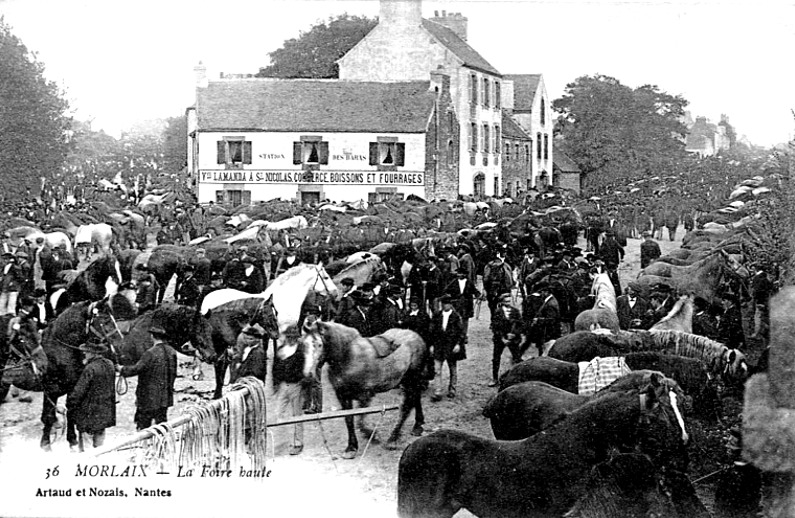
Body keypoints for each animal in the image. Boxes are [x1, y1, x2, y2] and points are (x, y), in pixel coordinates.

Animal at [296, 322, 430, 462]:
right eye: (303, 344)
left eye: (319, 344)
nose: (308, 374)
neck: (347, 356)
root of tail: (417, 336)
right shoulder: (342, 396)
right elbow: (349, 420)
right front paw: (351, 448)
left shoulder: (365, 395)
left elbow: (360, 420)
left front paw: (372, 435)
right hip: (408, 382)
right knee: (416, 399)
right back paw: (417, 426)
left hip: (411, 380)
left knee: (406, 407)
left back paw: (392, 439)